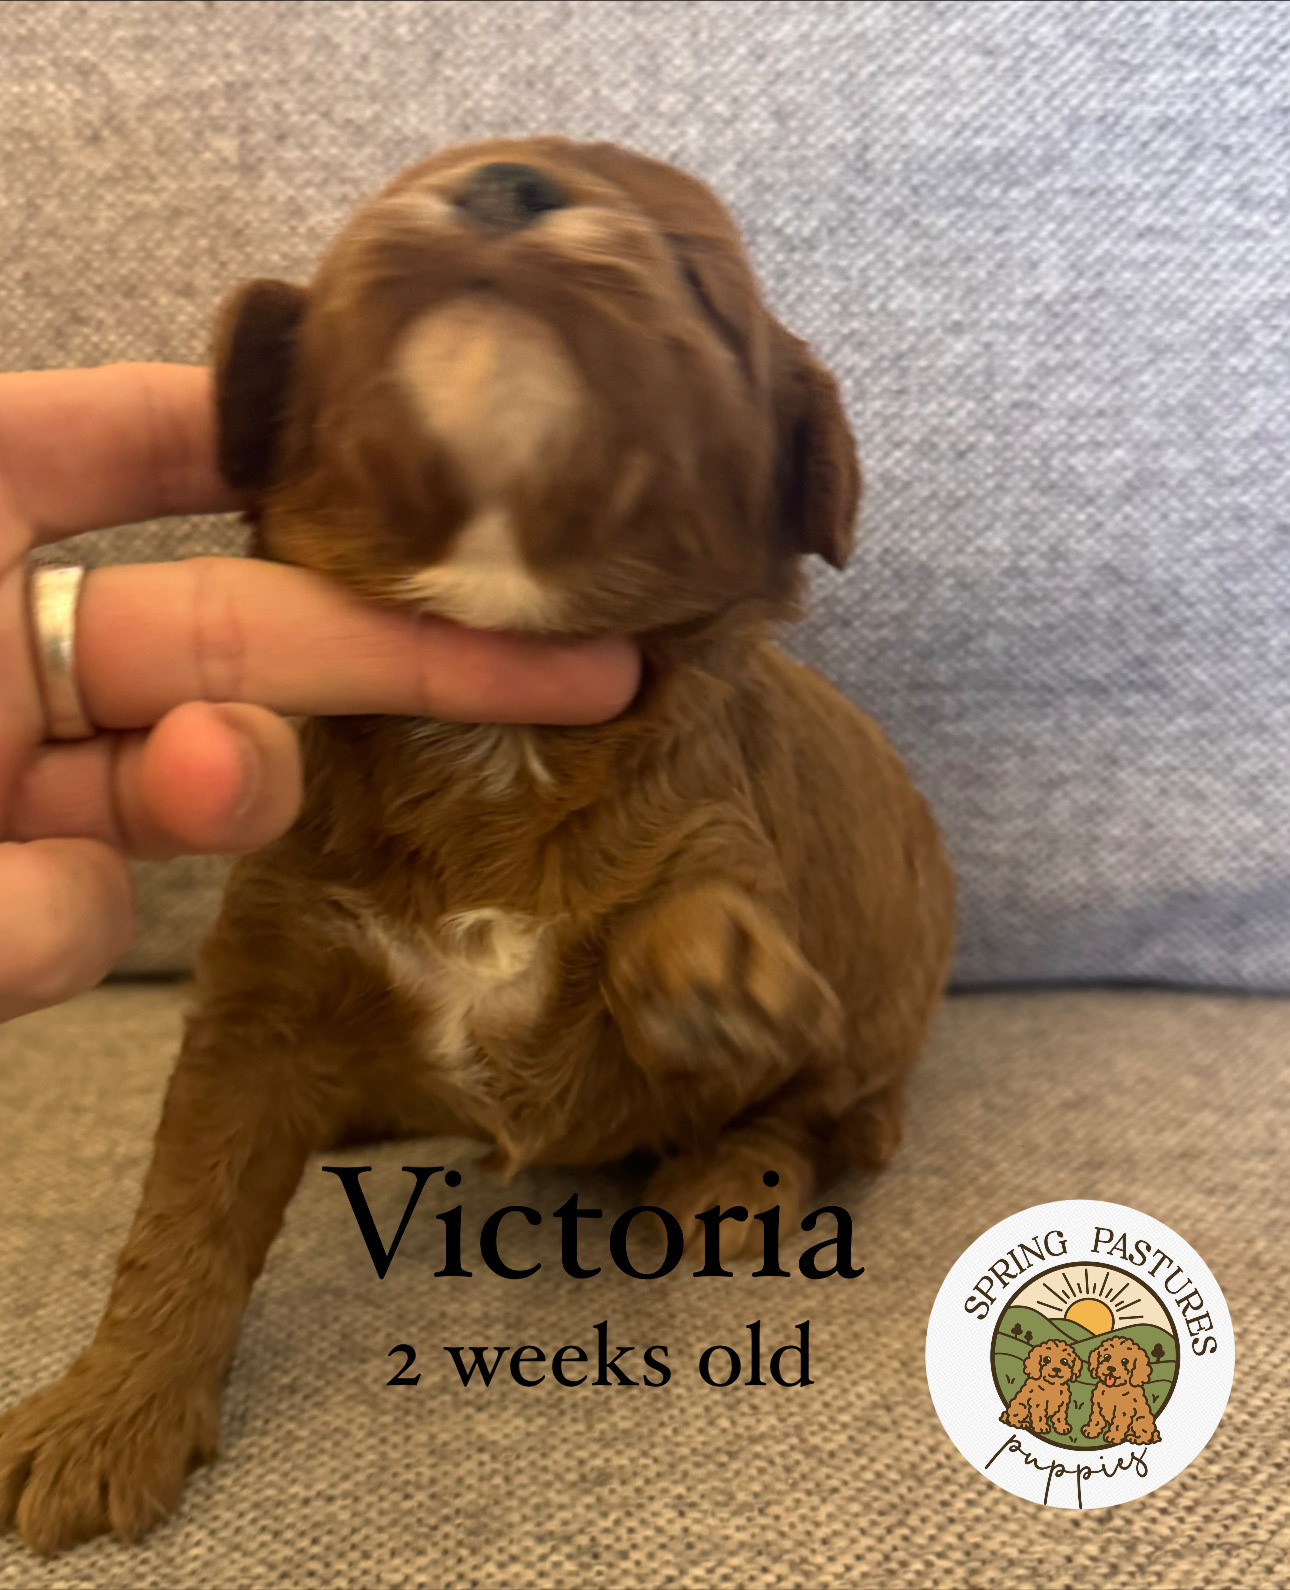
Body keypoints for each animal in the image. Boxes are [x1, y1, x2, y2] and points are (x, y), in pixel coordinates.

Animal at [0, 138, 954, 1553]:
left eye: (698, 282)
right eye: (375, 216)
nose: (509, 185)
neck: (496, 717)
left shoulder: (721, 825)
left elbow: (696, 912)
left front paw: (709, 967)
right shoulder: (268, 979)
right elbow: (188, 1206)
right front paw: (108, 1413)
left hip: (879, 1015)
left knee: (831, 1115)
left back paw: (735, 1175)